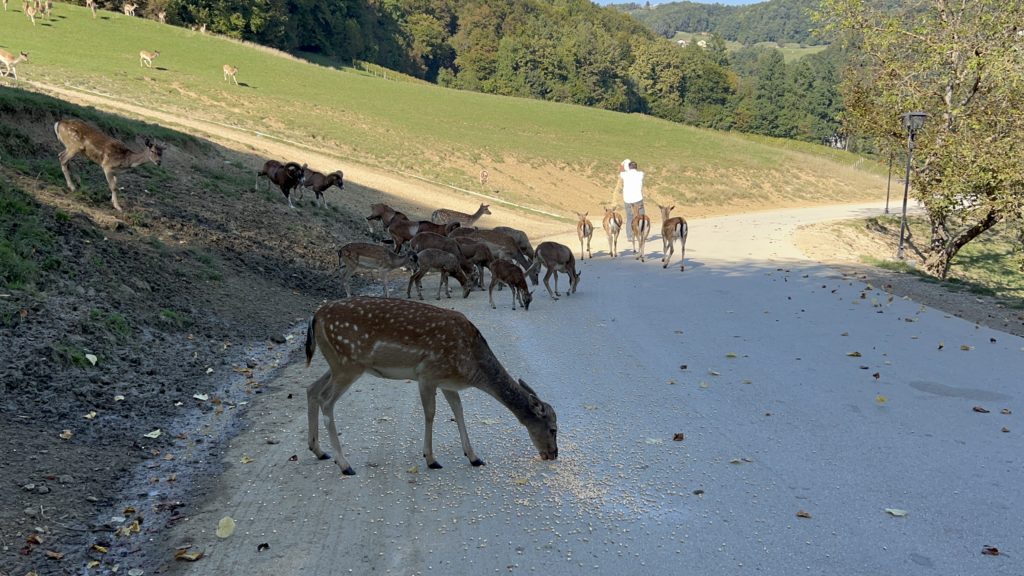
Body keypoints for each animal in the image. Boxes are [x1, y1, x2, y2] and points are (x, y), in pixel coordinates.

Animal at [303, 293, 561, 473]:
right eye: (553, 429)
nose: (553, 454)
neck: (471, 366)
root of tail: (316, 316)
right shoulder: (428, 373)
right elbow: (430, 413)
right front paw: (431, 459)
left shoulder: (447, 382)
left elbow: (459, 411)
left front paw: (474, 457)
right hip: (348, 362)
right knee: (326, 400)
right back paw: (344, 464)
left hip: (338, 363)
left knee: (311, 389)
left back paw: (319, 451)